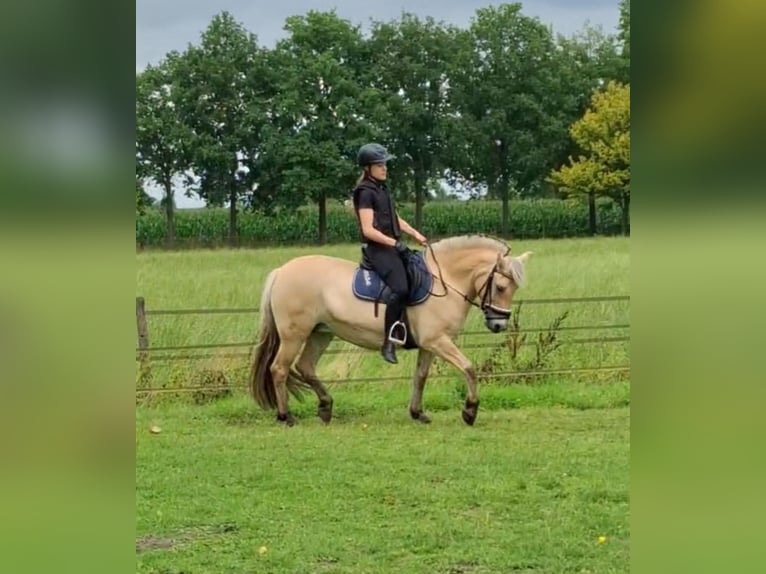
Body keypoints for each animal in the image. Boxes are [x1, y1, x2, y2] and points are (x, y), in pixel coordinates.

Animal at [247, 234, 532, 426]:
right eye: (501, 287)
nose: (498, 324)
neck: (446, 282)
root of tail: (281, 271)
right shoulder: (438, 341)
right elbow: (469, 369)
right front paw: (470, 411)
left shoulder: (430, 344)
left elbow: (420, 377)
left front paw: (418, 413)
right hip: (294, 335)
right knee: (279, 369)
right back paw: (286, 416)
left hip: (321, 333)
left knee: (305, 367)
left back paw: (326, 407)